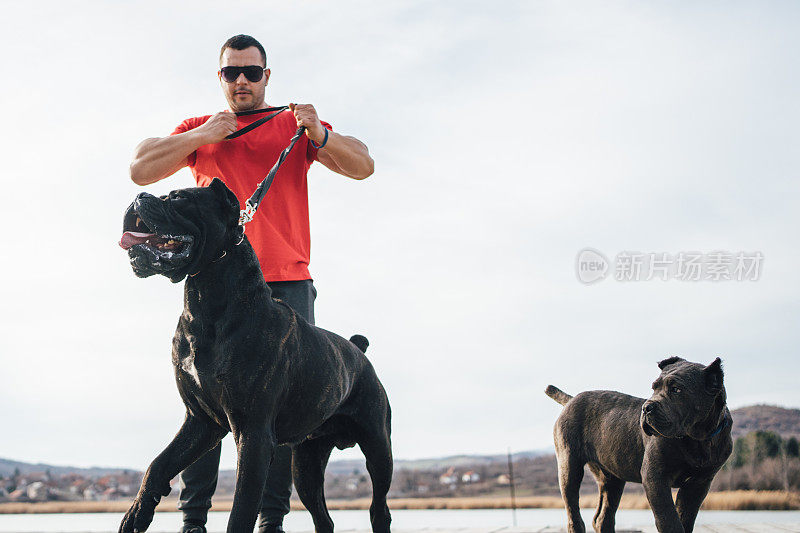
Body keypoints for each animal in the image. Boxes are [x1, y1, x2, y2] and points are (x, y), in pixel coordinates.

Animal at [548, 358, 736, 532]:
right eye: (654, 388)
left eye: (677, 389)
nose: (646, 407)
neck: (698, 439)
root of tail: (571, 400)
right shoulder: (655, 476)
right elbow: (669, 518)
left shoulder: (698, 484)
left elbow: (684, 518)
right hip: (569, 467)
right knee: (573, 512)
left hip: (612, 478)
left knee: (602, 518)